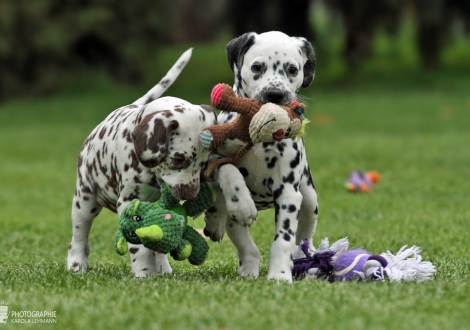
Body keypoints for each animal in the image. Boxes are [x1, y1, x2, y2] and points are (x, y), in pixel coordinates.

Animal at [67, 49, 218, 276]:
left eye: (203, 164)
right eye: (178, 159)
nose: (190, 194)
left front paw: (156, 269)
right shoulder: (130, 203)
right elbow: (139, 247)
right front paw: (144, 273)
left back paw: (163, 269)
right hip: (84, 200)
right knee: (79, 236)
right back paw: (76, 264)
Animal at [205, 31, 320, 284]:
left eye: (292, 70)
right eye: (257, 67)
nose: (275, 94)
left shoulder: (288, 193)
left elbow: (283, 240)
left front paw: (279, 274)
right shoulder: (211, 159)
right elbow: (228, 170)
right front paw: (242, 203)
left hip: (309, 200)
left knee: (303, 237)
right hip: (234, 222)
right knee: (245, 244)